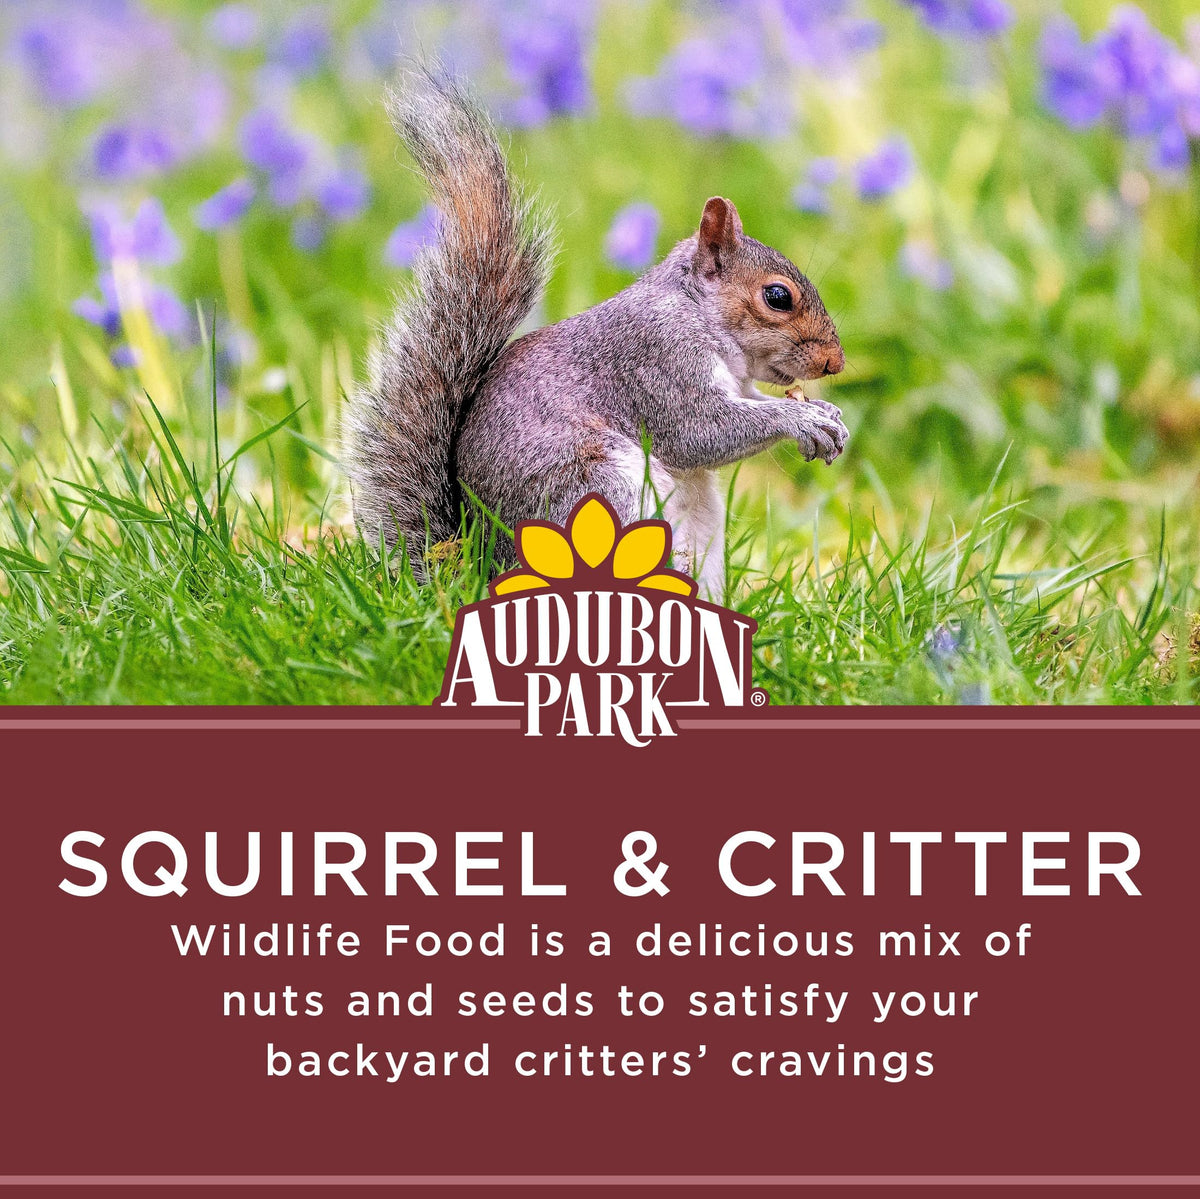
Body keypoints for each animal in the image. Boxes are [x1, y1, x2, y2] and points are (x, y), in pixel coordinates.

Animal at [348, 68, 848, 600]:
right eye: (777, 297)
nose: (834, 362)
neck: (696, 313)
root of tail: (481, 567)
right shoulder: (655, 361)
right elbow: (698, 430)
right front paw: (802, 420)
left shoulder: (735, 380)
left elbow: (747, 405)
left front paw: (825, 413)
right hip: (601, 487)